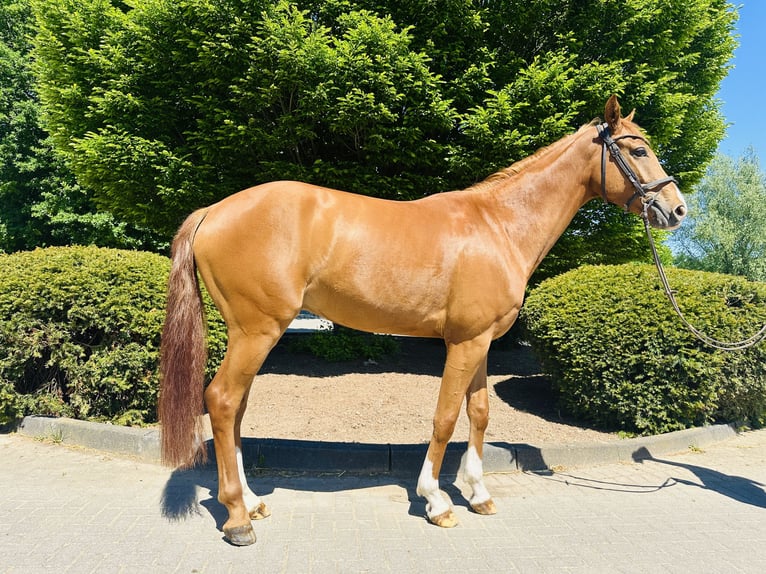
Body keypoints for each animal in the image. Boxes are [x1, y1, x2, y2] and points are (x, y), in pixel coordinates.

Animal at [159, 96, 687, 545]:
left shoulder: (481, 342)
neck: (499, 226)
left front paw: (478, 493)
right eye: (638, 149)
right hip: (258, 331)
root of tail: (214, 210)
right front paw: (436, 501)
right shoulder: (463, 343)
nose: (677, 209)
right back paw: (238, 519)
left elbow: (479, 413)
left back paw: (251, 502)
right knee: (222, 401)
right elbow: (445, 417)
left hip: (251, 334)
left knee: (236, 409)